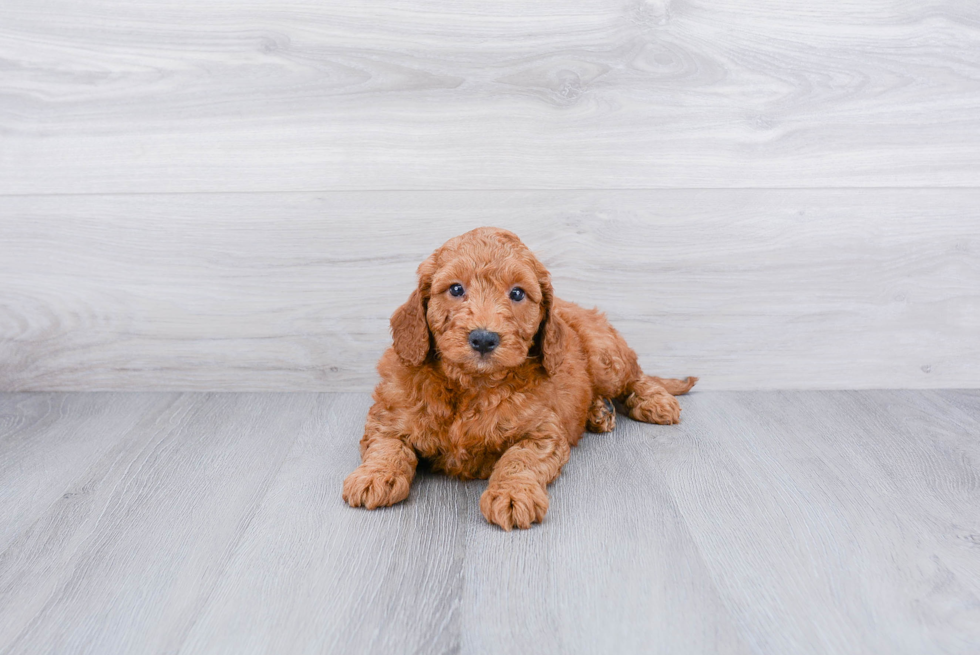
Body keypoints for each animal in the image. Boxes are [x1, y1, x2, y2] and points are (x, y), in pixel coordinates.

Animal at [344, 228, 696, 532]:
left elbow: (519, 459)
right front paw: (373, 477)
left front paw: (513, 495)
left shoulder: (543, 433)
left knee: (634, 376)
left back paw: (655, 401)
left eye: (517, 293)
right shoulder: (388, 416)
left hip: (605, 355)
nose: (483, 339)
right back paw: (599, 412)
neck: (471, 384)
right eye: (456, 289)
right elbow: (387, 446)